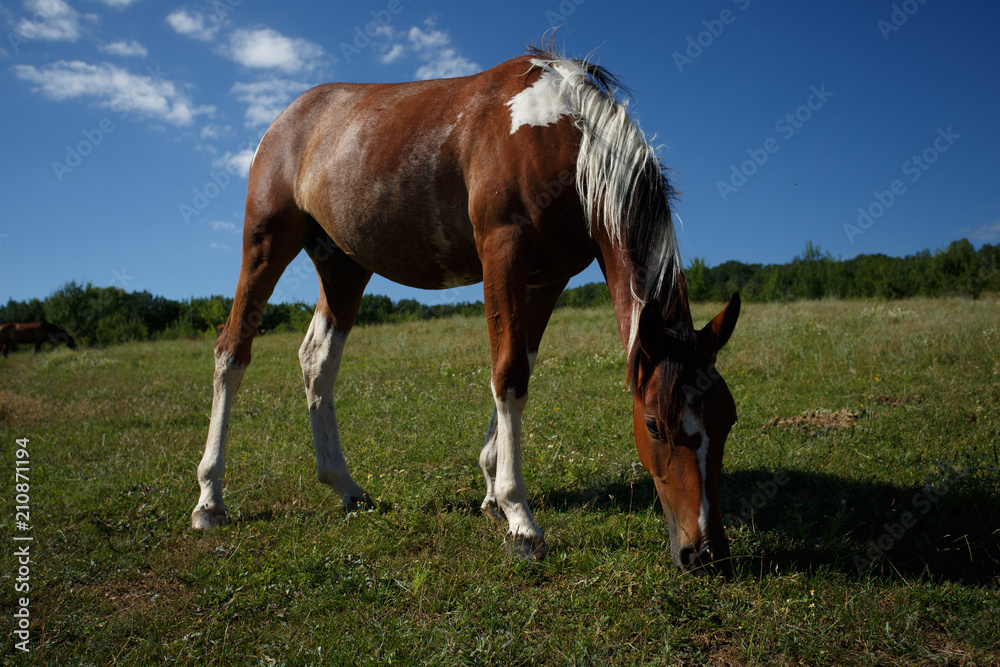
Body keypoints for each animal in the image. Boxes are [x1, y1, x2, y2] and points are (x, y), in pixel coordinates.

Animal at [192, 47, 741, 574]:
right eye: (654, 424)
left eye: (729, 418)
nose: (705, 553)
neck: (561, 130)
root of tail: (287, 118)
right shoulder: (502, 251)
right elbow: (509, 375)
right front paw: (521, 521)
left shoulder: (548, 279)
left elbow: (520, 368)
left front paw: (493, 493)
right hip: (266, 244)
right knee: (231, 352)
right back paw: (209, 500)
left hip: (343, 267)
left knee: (317, 361)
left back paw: (345, 487)